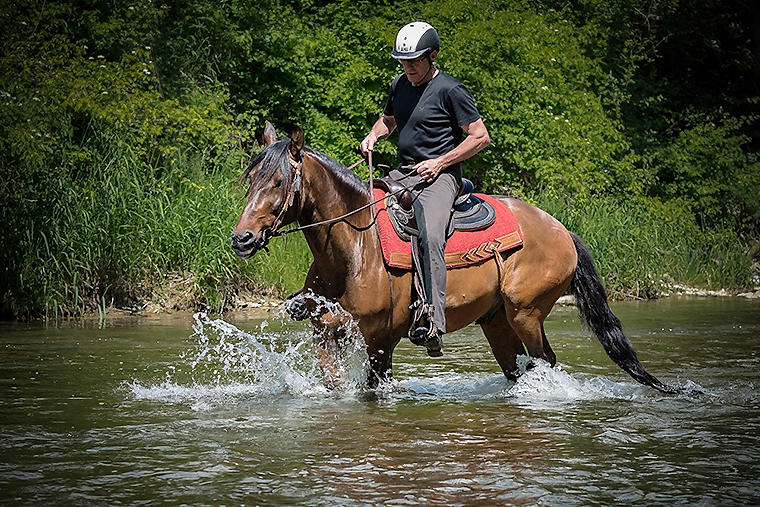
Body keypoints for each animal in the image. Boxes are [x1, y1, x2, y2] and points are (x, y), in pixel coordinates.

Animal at [232, 122, 684, 392]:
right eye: (250, 178)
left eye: (278, 181)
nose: (242, 238)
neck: (354, 251)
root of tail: (563, 232)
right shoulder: (328, 334)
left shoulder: (380, 340)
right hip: (498, 322)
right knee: (519, 368)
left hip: (526, 313)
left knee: (546, 362)